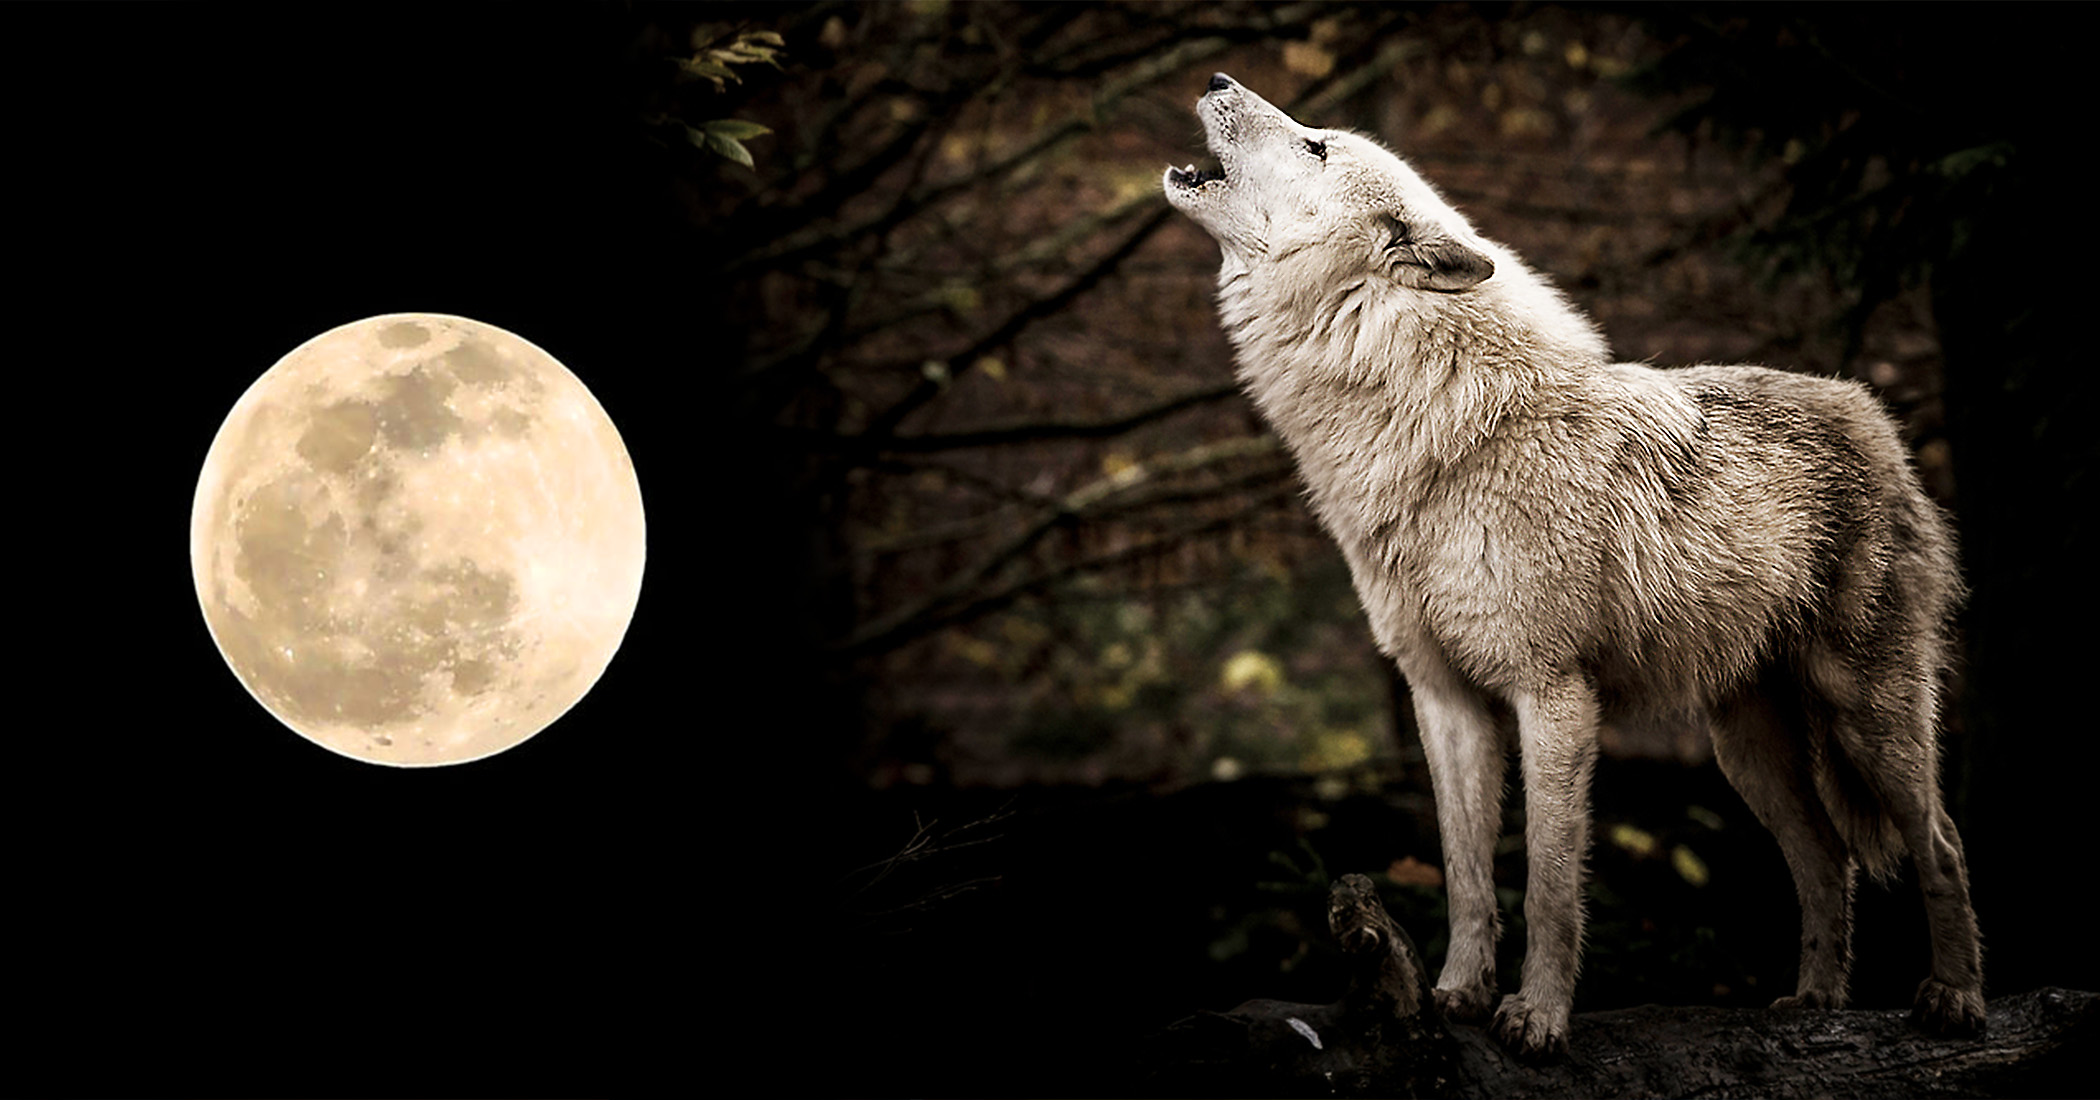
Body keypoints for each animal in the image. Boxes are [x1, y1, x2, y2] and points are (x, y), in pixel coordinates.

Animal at [1164, 73, 1984, 1056]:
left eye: (1316, 144)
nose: (1217, 79)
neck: (1439, 433)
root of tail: (1872, 413)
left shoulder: (1551, 695)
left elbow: (1550, 884)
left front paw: (1538, 1019)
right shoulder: (1444, 700)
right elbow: (1467, 876)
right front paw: (1454, 996)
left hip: (1868, 716)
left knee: (1941, 842)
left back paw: (1956, 999)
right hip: (1744, 750)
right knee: (1827, 858)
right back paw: (1816, 1000)